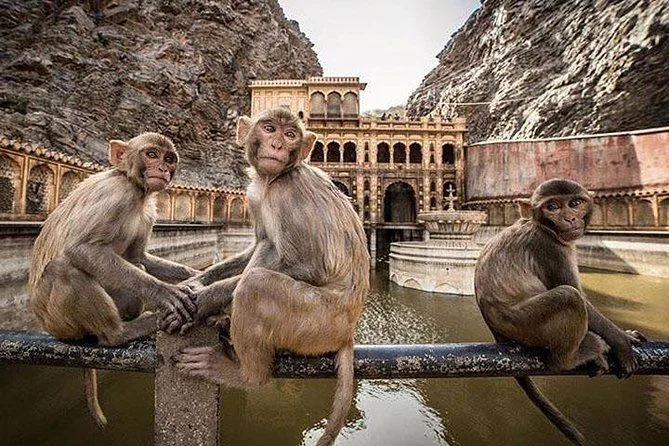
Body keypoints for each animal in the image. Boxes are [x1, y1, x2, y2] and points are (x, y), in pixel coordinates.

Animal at [28, 132, 198, 427]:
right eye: (151, 154)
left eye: (169, 158)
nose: (163, 169)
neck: (136, 188)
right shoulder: (116, 197)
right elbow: (81, 249)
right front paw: (166, 293)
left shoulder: (147, 212)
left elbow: (140, 256)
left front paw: (194, 275)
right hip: (59, 322)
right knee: (64, 268)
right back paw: (120, 332)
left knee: (134, 263)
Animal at [172, 108, 370, 446]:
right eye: (269, 129)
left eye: (290, 135)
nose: (277, 145)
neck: (272, 179)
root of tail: (347, 332)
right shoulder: (256, 196)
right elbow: (257, 244)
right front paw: (195, 282)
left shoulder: (287, 193)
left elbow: (309, 266)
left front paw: (202, 300)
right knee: (266, 249)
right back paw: (224, 321)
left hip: (316, 322)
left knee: (255, 285)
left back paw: (245, 374)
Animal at [474, 178, 646, 445]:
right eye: (553, 207)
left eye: (575, 203)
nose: (569, 218)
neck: (541, 226)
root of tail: (496, 332)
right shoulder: (549, 248)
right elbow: (580, 298)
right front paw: (622, 341)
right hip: (525, 325)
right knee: (569, 298)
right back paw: (574, 356)